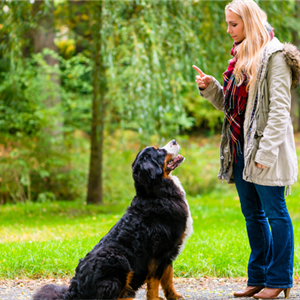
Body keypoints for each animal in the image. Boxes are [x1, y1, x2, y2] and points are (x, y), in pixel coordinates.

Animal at [32, 140, 192, 300]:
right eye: (158, 151)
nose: (174, 141)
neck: (156, 194)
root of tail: (75, 289)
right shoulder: (159, 254)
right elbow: (154, 282)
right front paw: (155, 298)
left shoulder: (169, 253)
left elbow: (167, 279)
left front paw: (174, 296)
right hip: (119, 260)